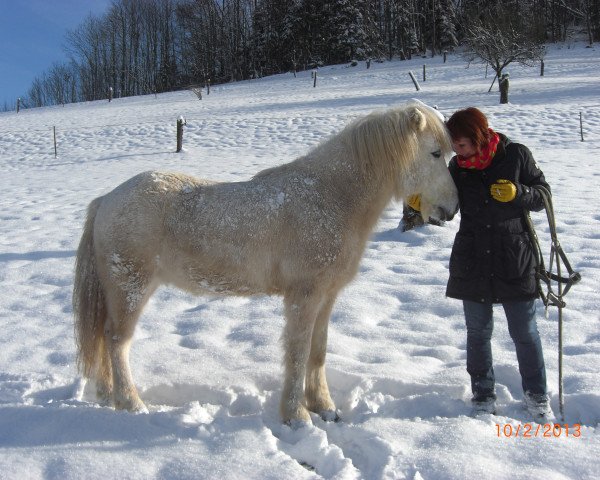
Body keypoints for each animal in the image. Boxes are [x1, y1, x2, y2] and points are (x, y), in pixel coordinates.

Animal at [74, 101, 460, 424]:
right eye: (435, 153)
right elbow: (298, 353)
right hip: (131, 290)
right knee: (117, 341)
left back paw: (108, 396)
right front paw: (297, 416)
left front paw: (324, 407)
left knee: (106, 340)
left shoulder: (326, 298)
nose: (451, 209)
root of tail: (106, 200)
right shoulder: (304, 298)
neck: (331, 197)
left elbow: (318, 352)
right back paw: (131, 404)